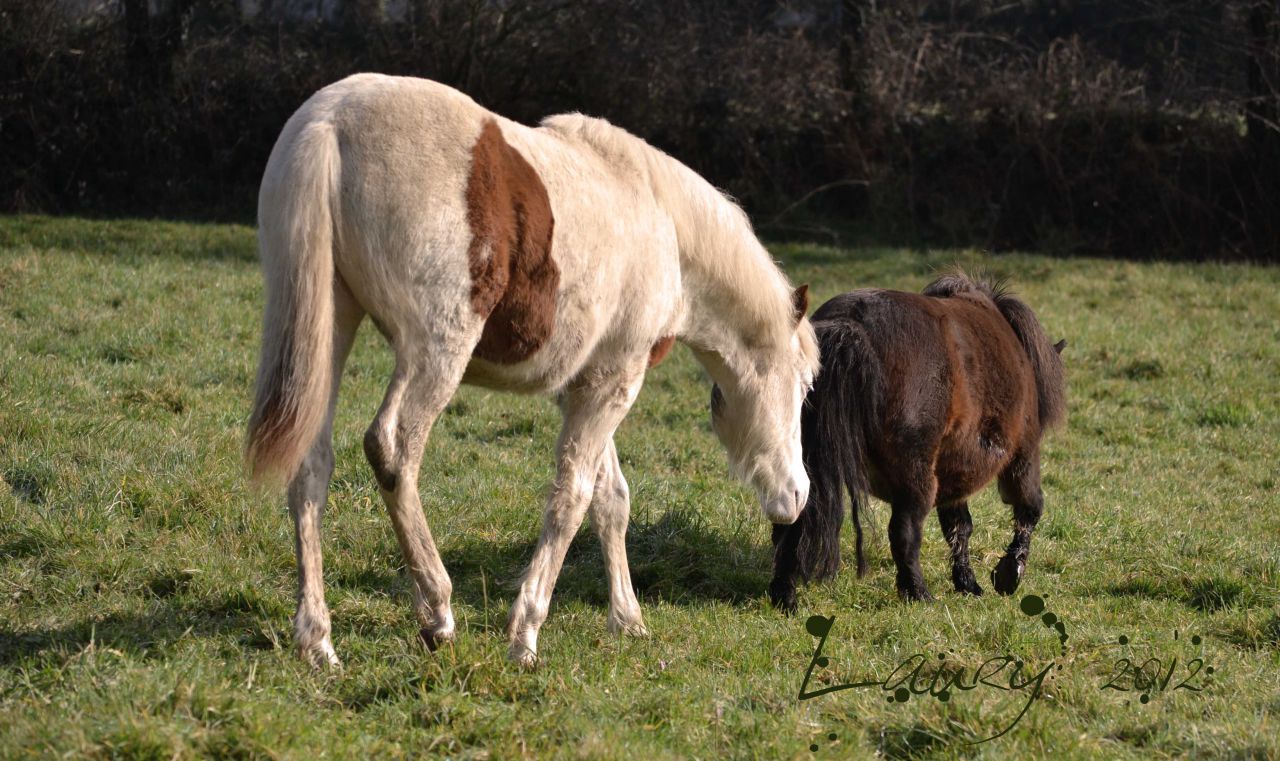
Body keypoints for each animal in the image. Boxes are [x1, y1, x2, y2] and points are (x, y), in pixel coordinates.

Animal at [245, 74, 820, 668]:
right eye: (804, 386)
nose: (798, 497)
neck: (665, 223)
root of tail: (331, 122)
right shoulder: (615, 382)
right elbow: (572, 499)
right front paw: (525, 632)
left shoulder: (584, 385)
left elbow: (610, 499)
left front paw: (627, 620)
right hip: (435, 350)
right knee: (394, 449)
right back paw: (437, 610)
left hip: (329, 327)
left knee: (311, 464)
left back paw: (318, 640)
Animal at [769, 272, 1065, 611]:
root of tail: (851, 326)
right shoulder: (1022, 455)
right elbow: (1028, 509)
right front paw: (1009, 572)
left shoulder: (954, 472)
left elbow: (959, 527)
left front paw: (967, 582)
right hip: (916, 478)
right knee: (904, 533)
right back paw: (918, 593)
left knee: (793, 520)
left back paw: (784, 595)